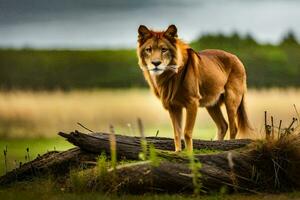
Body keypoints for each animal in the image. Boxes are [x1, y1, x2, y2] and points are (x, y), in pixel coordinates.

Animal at [137, 23, 252, 152]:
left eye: (164, 49)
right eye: (148, 49)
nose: (156, 63)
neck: (167, 76)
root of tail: (237, 58)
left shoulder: (192, 102)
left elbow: (187, 132)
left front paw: (189, 153)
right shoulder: (173, 106)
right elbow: (177, 133)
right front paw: (178, 152)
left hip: (231, 100)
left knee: (233, 128)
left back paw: (228, 147)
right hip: (212, 104)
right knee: (223, 125)